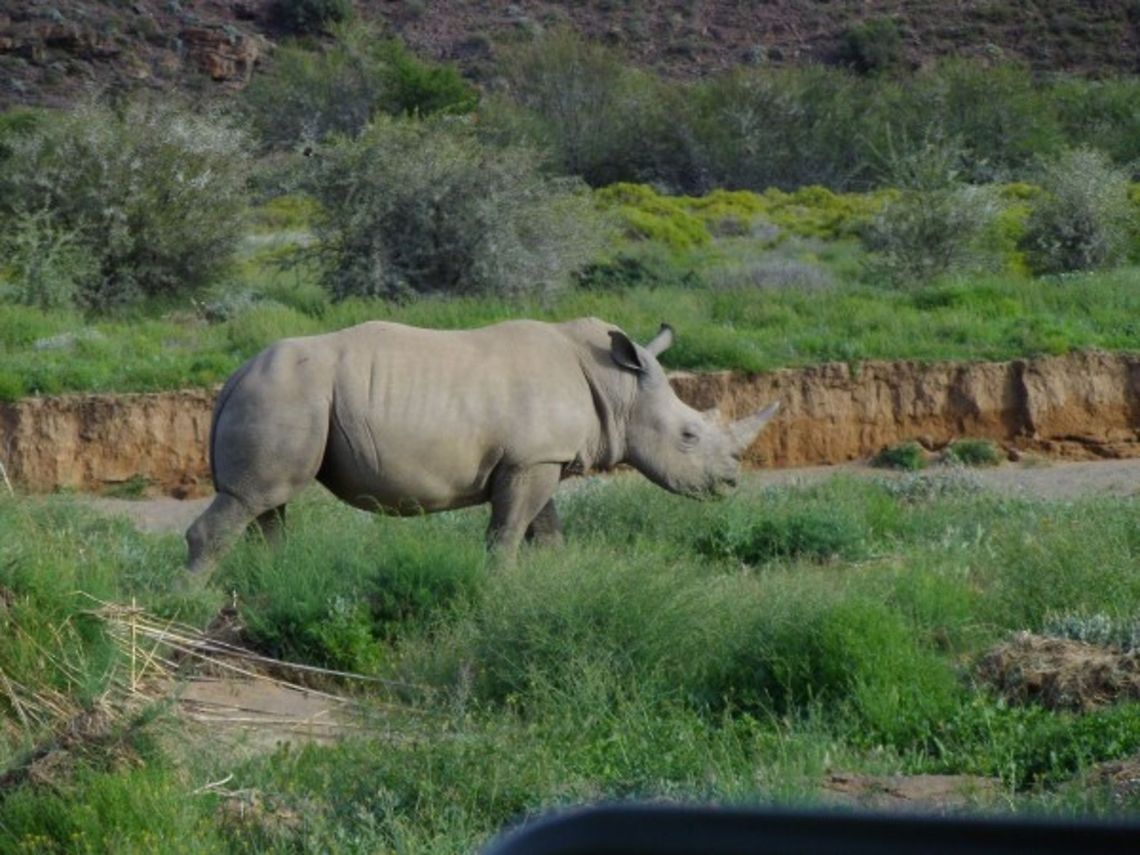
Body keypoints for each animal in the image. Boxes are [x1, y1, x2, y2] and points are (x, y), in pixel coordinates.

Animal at [186, 318, 779, 574]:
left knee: (267, 502)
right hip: (284, 393)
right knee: (251, 499)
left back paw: (278, 583)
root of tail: (234, 376)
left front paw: (554, 583)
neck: (619, 388)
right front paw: (502, 589)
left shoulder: (539, 456)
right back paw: (192, 601)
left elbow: (546, 529)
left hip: (285, 395)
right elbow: (508, 533)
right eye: (689, 436)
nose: (731, 482)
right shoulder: (530, 460)